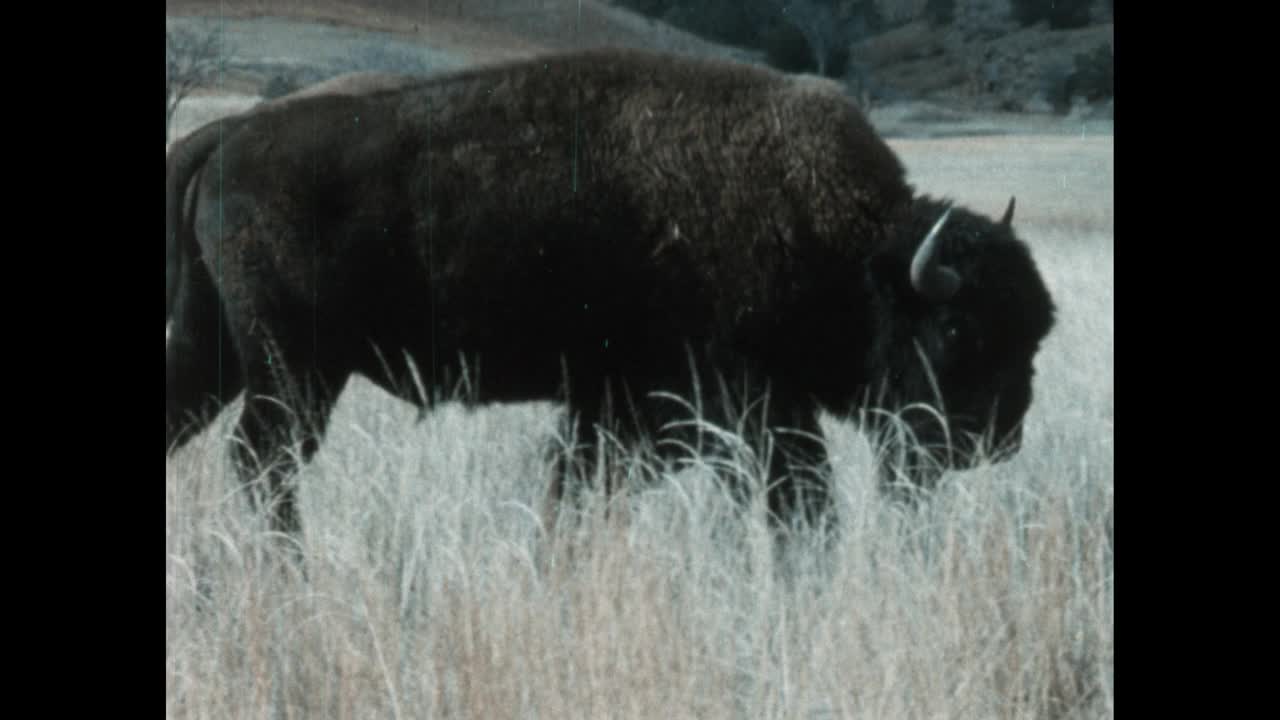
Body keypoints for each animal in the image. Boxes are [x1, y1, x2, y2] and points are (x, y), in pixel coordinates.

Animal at [165, 47, 1054, 535]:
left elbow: (576, 489)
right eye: (957, 331)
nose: (996, 438)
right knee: (265, 464)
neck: (845, 246)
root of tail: (232, 134)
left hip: (221, 355)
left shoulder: (617, 413)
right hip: (297, 374)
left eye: (1036, 330)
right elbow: (800, 506)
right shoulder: (745, 411)